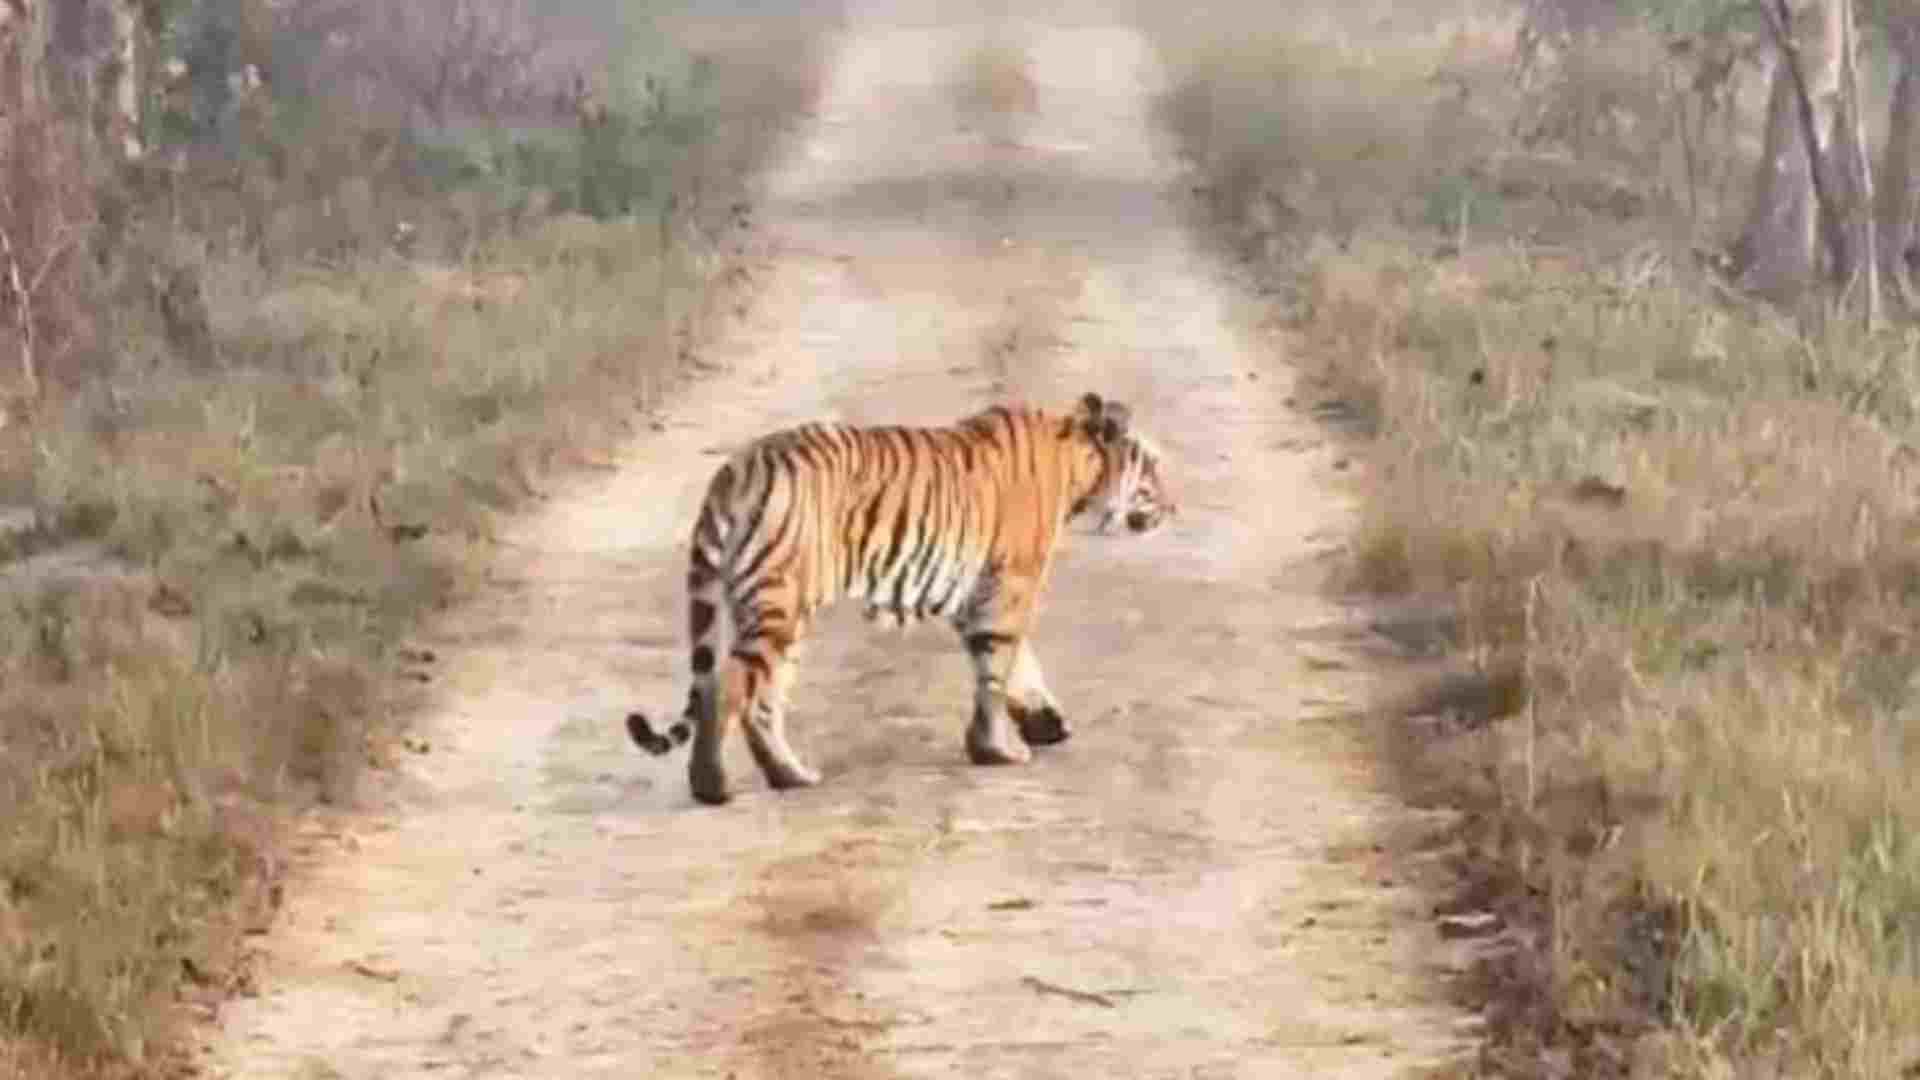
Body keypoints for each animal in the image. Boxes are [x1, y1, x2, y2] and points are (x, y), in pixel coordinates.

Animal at [626, 391, 1176, 806]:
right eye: (1153, 467)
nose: (1174, 506)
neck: (1076, 461)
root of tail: (738, 469)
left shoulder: (975, 596)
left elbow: (1017, 664)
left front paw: (1044, 722)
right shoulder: (1010, 586)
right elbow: (997, 669)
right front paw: (997, 750)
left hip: (776, 611)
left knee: (761, 699)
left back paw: (790, 775)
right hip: (779, 601)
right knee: (727, 686)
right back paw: (712, 786)